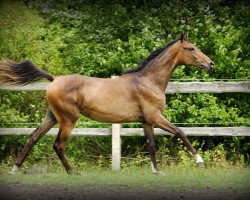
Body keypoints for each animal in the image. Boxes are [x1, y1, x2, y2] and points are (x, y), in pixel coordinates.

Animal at [0, 33, 215, 174]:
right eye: (191, 48)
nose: (210, 64)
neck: (148, 80)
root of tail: (54, 80)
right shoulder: (155, 117)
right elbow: (180, 132)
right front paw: (200, 161)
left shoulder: (146, 121)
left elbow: (151, 145)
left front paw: (156, 172)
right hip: (68, 120)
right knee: (58, 145)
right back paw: (73, 172)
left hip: (51, 117)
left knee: (33, 137)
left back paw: (14, 169)